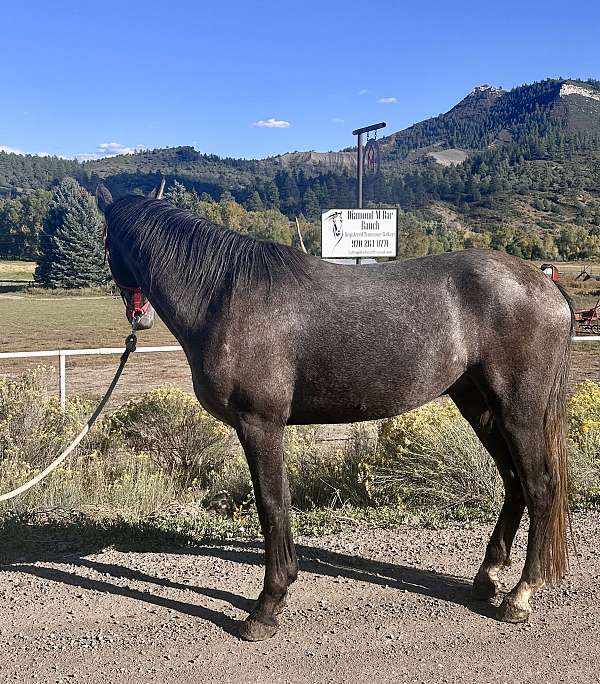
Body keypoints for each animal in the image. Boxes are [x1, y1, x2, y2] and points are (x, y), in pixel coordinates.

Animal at [97, 187, 572, 640]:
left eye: (105, 242)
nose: (139, 317)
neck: (226, 296)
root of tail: (544, 284)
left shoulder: (260, 426)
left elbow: (272, 507)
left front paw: (267, 606)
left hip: (519, 411)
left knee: (540, 487)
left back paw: (520, 595)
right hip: (479, 405)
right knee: (513, 482)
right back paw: (487, 576)